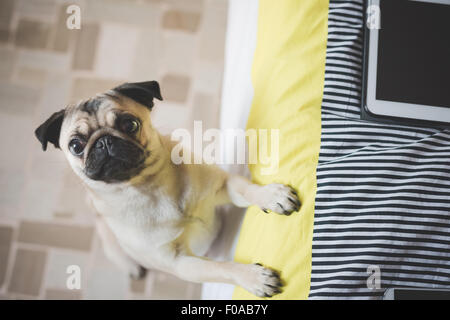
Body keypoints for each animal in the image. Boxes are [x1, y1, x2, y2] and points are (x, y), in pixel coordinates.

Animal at [36, 80, 302, 298]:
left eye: (130, 124)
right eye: (75, 145)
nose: (104, 141)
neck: (149, 187)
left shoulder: (223, 184)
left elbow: (248, 190)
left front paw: (271, 195)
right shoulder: (180, 263)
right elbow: (220, 268)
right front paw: (252, 277)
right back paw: (132, 267)